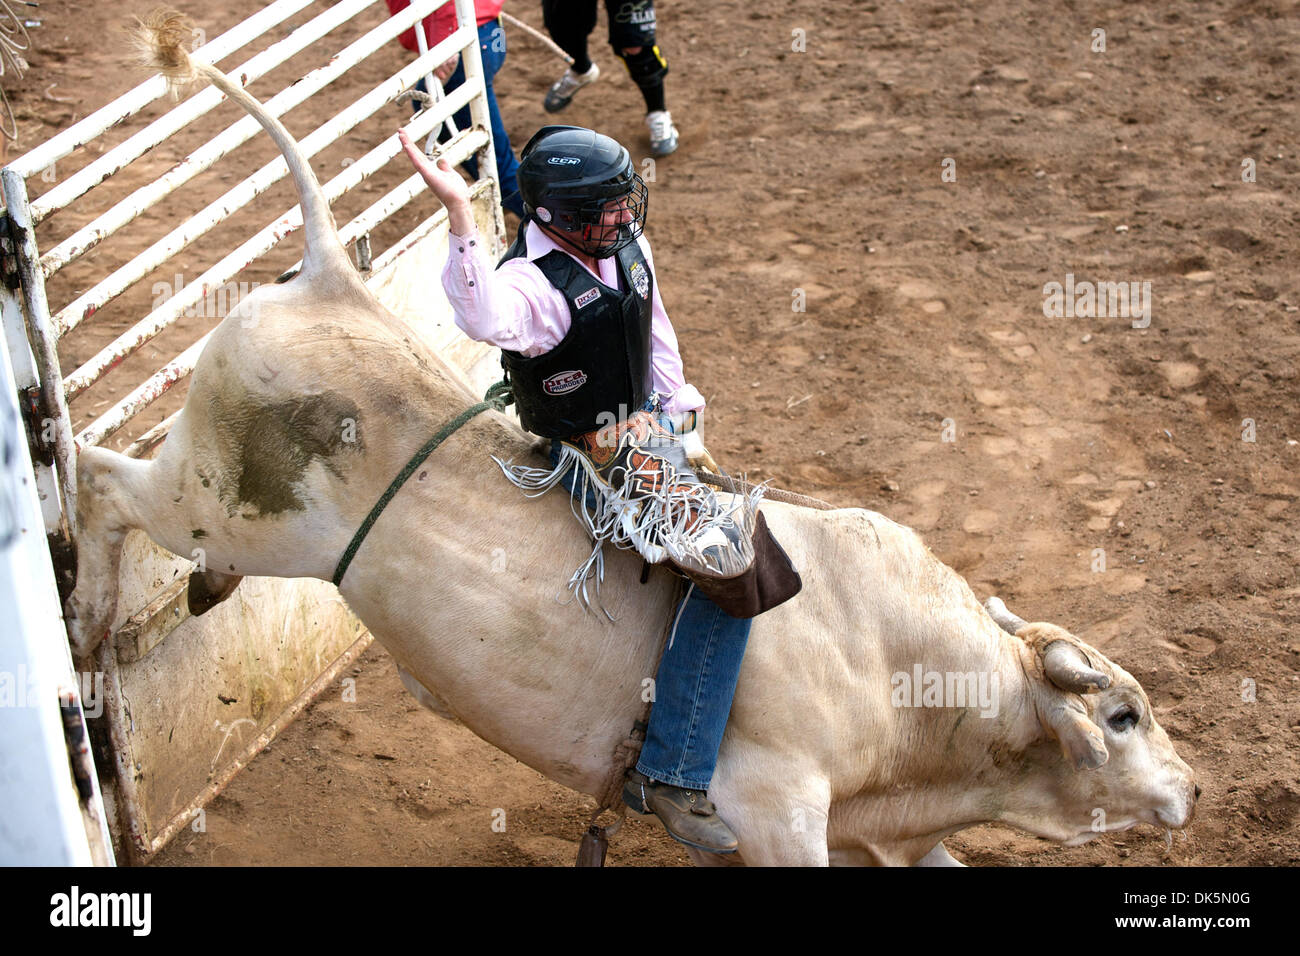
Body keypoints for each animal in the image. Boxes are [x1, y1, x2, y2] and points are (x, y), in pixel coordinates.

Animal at [64, 11, 1197, 865]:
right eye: (1124, 717)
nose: (1191, 786)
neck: (896, 674)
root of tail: (327, 277)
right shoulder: (781, 815)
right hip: (223, 506)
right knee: (104, 481)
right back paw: (86, 617)